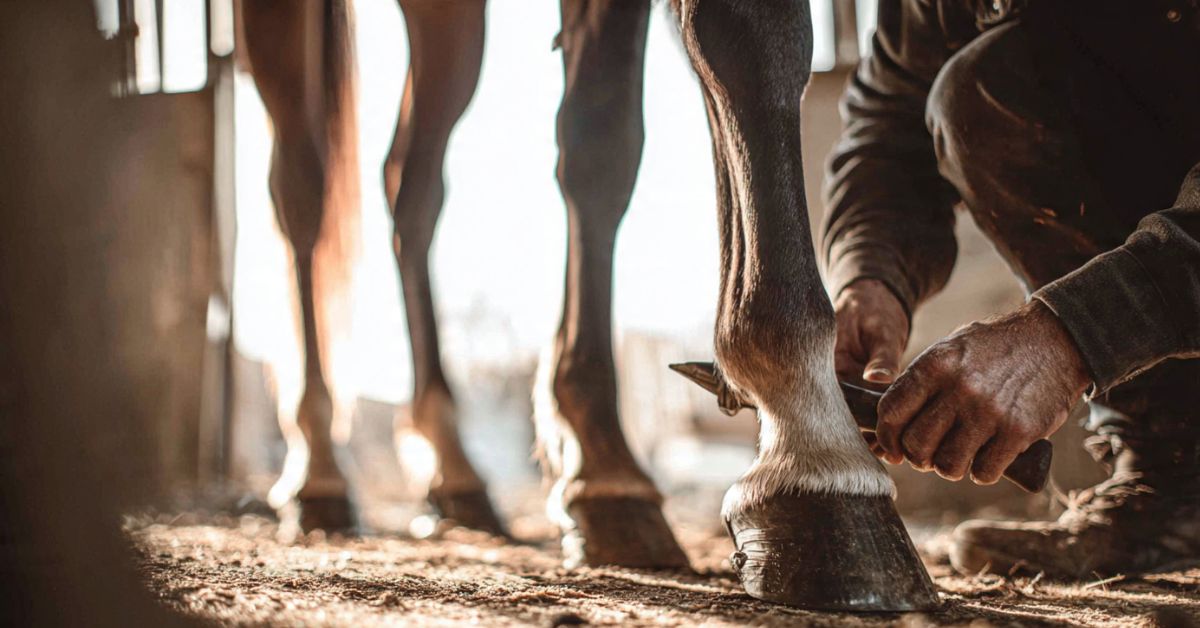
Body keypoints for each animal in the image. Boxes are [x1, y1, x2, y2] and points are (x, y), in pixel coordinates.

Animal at [238, 0, 936, 609]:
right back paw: (317, 468)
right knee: (300, 184)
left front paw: (603, 462)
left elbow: (607, 139)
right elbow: (743, 40)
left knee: (411, 186)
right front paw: (813, 452)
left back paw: (455, 468)